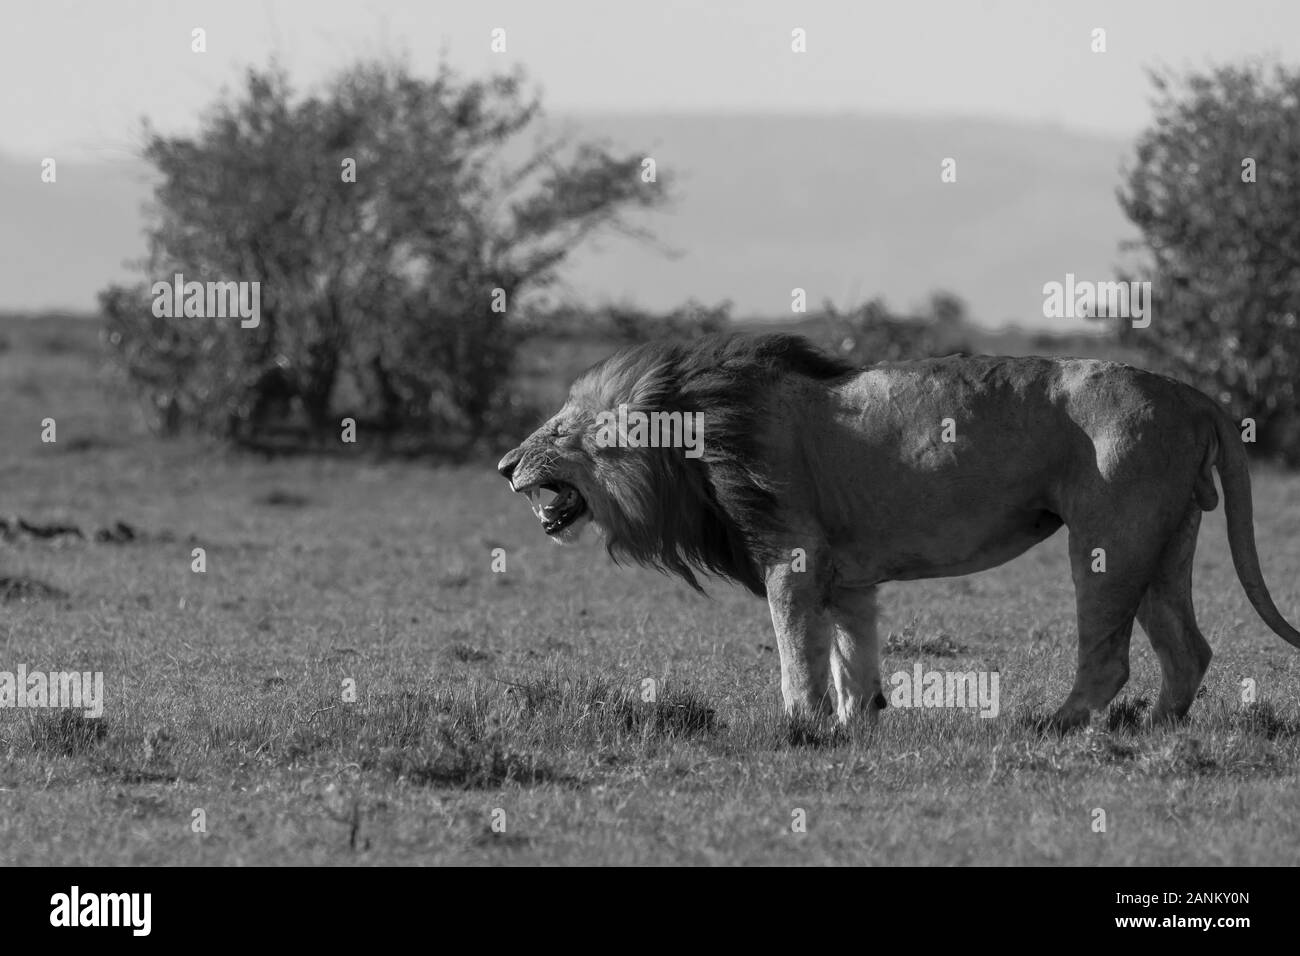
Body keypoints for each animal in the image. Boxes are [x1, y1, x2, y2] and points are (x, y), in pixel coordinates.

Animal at [496, 332, 1300, 728]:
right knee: (1188, 649)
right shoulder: (843, 571)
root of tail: (1191, 392)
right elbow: (852, 650)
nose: (503, 464)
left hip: (1109, 534)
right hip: (1166, 539)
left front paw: (801, 727)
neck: (696, 430)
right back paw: (1156, 729)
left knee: (1109, 658)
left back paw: (1054, 725)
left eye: (559, 430)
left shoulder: (791, 555)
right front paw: (858, 722)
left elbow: (796, 650)